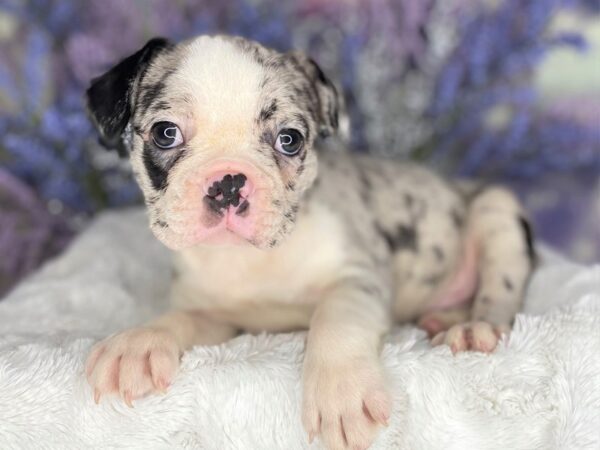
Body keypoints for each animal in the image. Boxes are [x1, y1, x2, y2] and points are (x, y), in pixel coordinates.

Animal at [84, 36, 536, 450]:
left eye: (289, 139)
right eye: (166, 133)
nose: (229, 182)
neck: (254, 259)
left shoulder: (355, 280)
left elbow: (335, 321)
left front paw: (342, 393)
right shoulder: (213, 314)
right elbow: (179, 320)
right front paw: (139, 344)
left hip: (497, 213)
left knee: (499, 294)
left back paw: (473, 328)